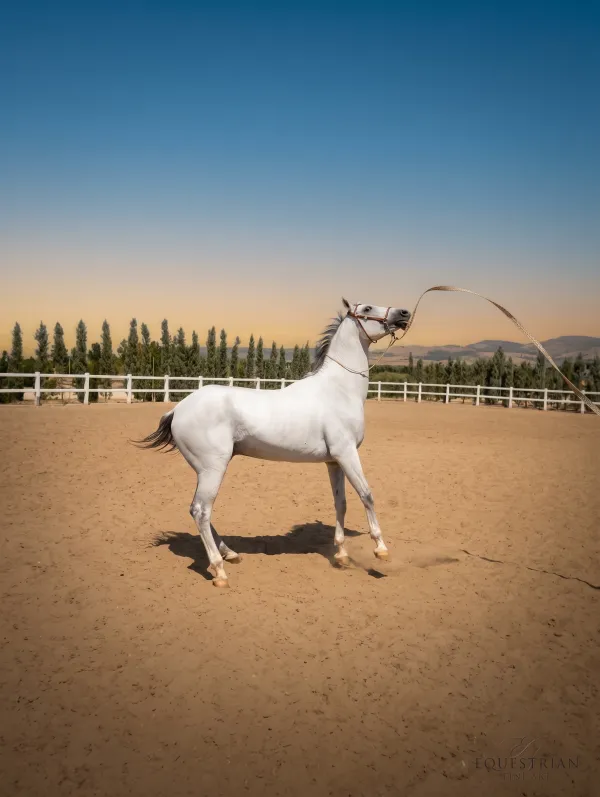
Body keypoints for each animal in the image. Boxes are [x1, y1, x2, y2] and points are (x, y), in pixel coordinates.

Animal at [137, 299, 411, 587]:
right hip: (213, 468)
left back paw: (230, 554)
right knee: (201, 510)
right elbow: (366, 495)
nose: (404, 314)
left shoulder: (333, 461)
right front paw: (381, 550)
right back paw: (219, 571)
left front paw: (341, 555)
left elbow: (341, 503)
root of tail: (177, 410)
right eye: (367, 308)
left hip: (207, 470)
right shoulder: (346, 453)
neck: (338, 390)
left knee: (200, 511)